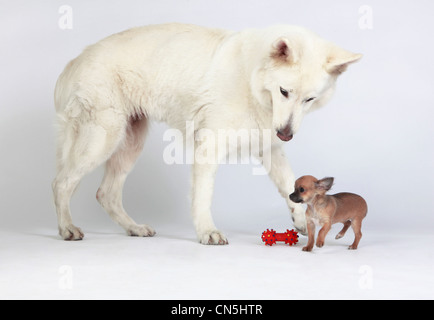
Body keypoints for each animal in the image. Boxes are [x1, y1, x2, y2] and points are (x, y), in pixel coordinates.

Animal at [52, 23, 362, 244]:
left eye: (309, 99)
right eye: (285, 91)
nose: (286, 134)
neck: (251, 79)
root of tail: (76, 59)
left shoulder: (270, 148)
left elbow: (289, 184)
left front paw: (299, 217)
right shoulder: (208, 148)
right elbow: (203, 196)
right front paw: (207, 232)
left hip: (129, 144)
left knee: (106, 194)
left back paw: (134, 228)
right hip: (102, 139)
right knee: (61, 183)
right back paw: (67, 227)